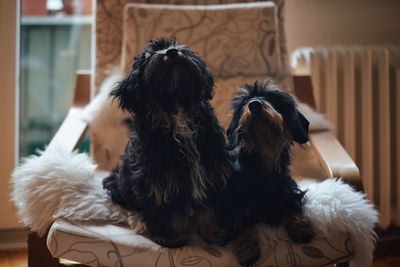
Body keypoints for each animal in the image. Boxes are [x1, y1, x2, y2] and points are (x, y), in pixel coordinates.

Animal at [101, 38, 230, 248]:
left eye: (177, 45)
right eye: (150, 54)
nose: (171, 52)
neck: (178, 113)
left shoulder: (211, 171)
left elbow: (208, 208)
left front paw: (213, 232)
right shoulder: (156, 180)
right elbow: (164, 212)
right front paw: (171, 236)